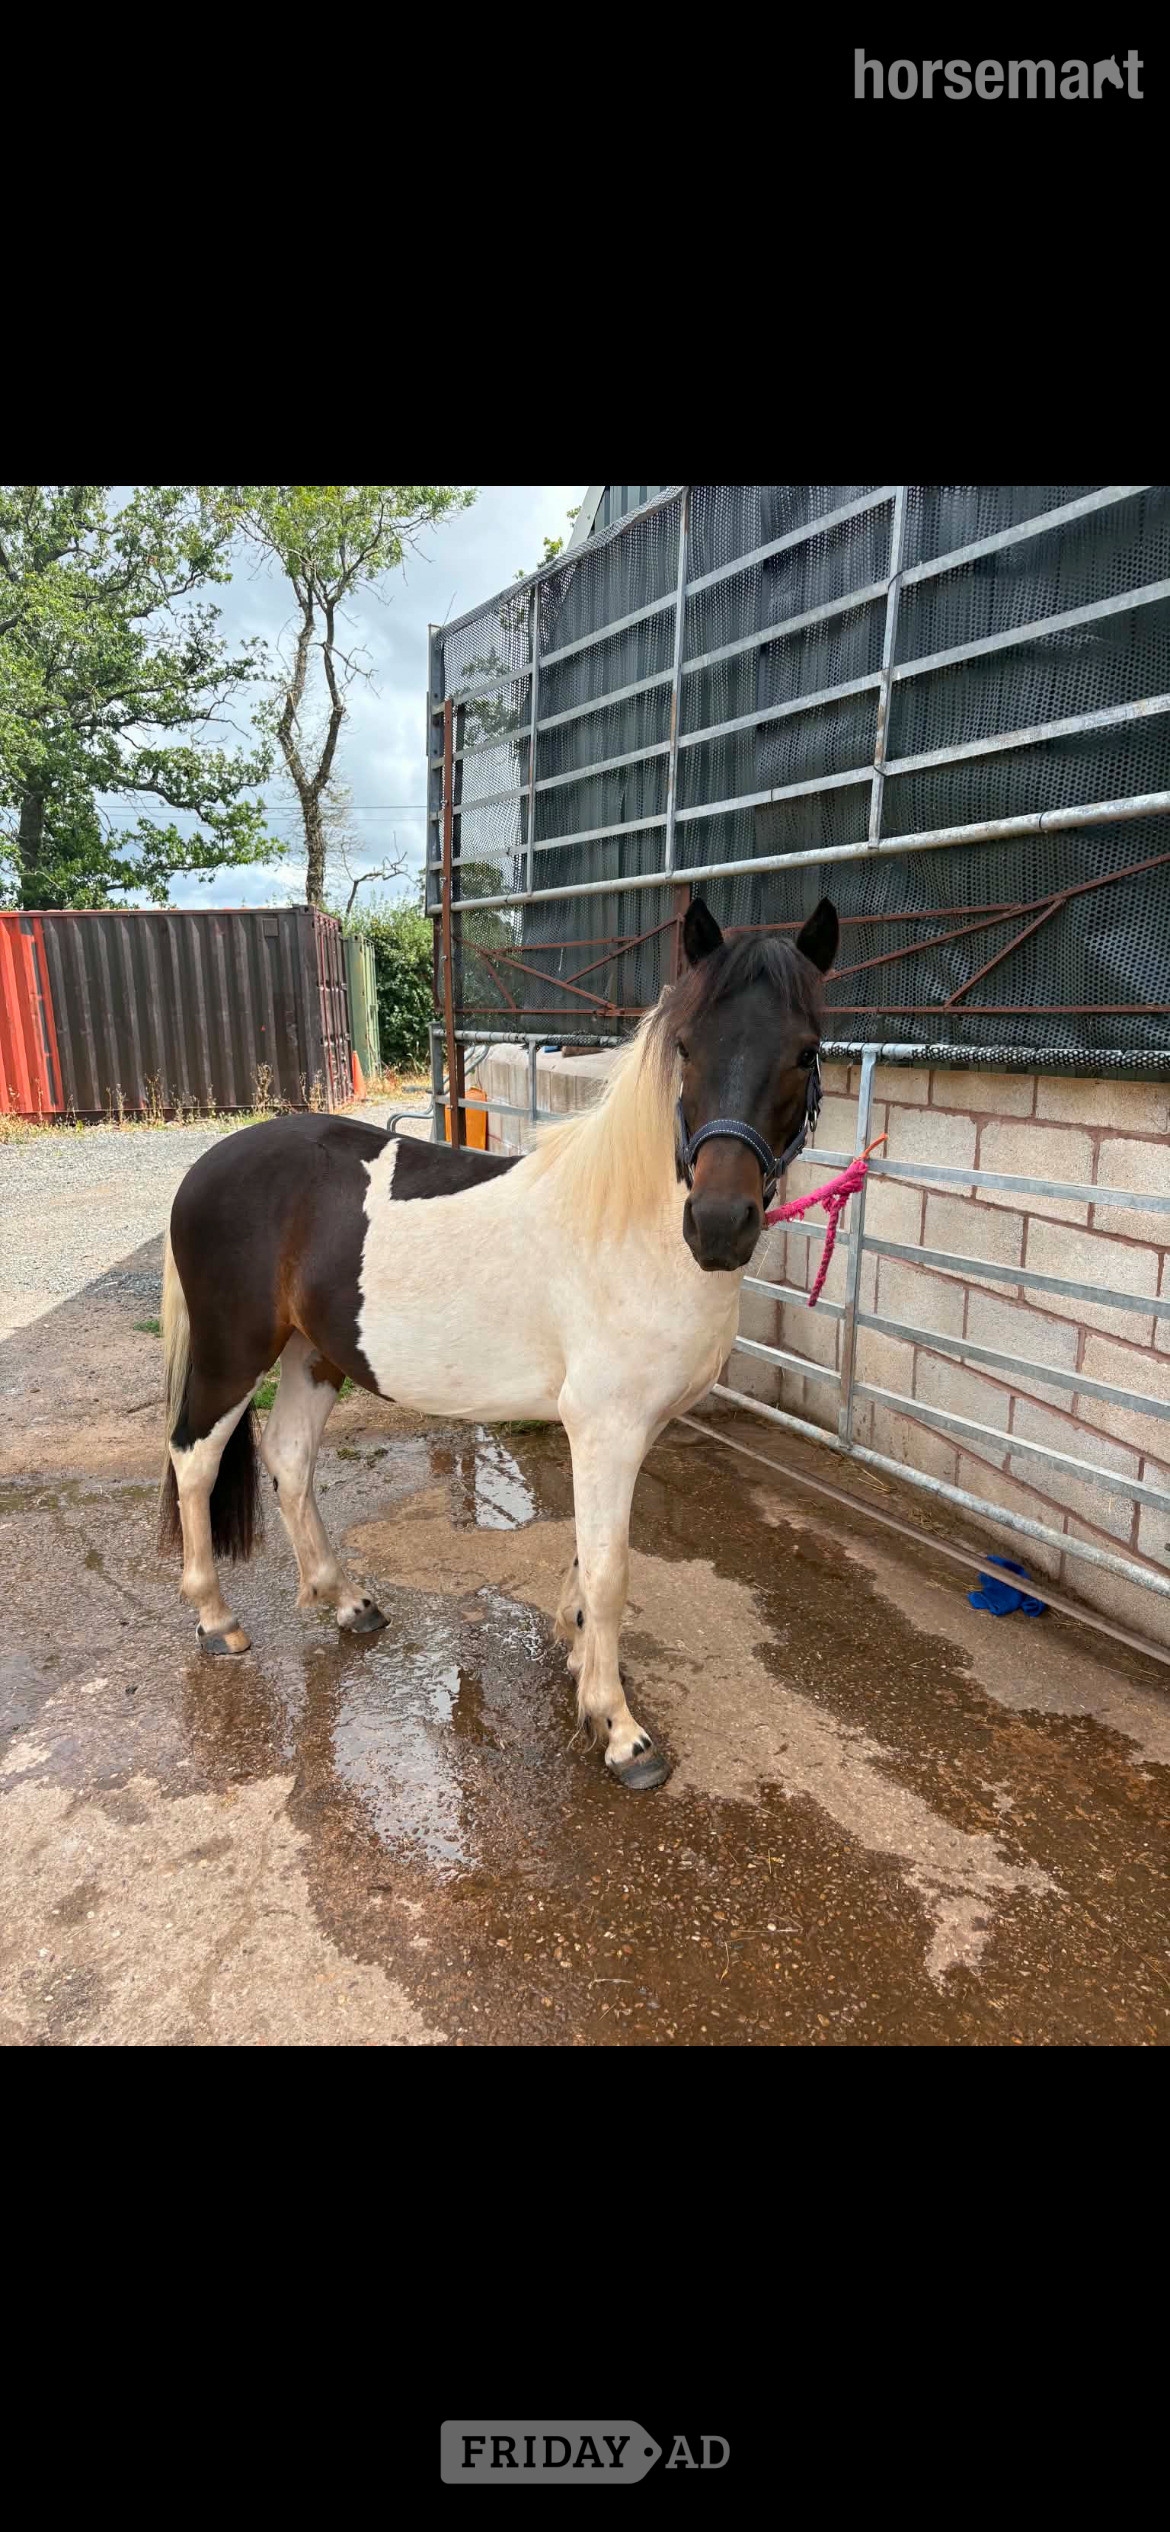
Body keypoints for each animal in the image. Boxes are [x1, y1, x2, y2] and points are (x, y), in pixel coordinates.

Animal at [158, 893, 839, 1791]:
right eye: (687, 1047)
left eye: (805, 1052)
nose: (720, 1225)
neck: (630, 1230)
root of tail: (209, 1164)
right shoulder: (606, 1426)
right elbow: (612, 1567)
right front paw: (619, 1730)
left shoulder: (627, 1430)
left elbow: (589, 1553)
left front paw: (577, 1659)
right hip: (234, 1352)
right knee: (195, 1461)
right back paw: (216, 1618)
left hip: (314, 1355)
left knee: (291, 1462)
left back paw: (346, 1602)